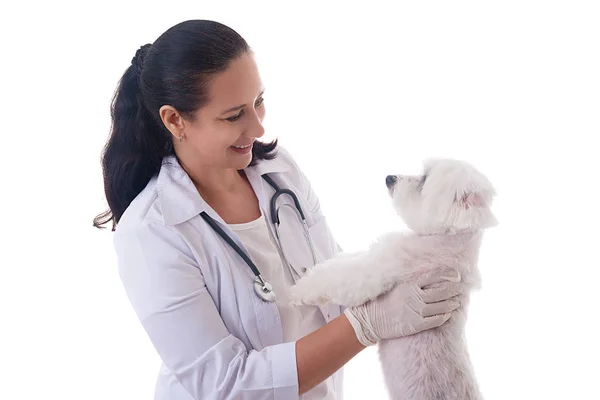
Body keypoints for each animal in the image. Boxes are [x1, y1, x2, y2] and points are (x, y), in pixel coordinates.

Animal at [290, 158, 496, 398]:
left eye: (424, 179)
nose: (389, 178)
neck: (447, 238)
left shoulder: (377, 270)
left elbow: (336, 276)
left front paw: (296, 292)